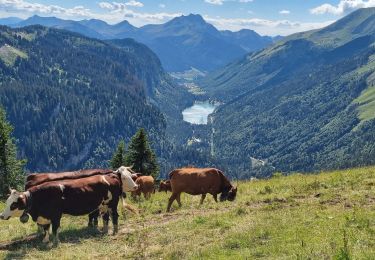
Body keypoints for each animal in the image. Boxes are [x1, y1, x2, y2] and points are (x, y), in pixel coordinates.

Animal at [0, 167, 138, 244]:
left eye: (13, 204)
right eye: (7, 202)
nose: (1, 215)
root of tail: (109, 175)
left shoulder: (55, 215)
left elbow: (55, 230)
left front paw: (55, 242)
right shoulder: (45, 216)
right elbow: (46, 229)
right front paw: (45, 240)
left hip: (112, 204)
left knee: (114, 216)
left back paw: (115, 231)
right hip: (103, 205)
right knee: (105, 217)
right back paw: (104, 230)